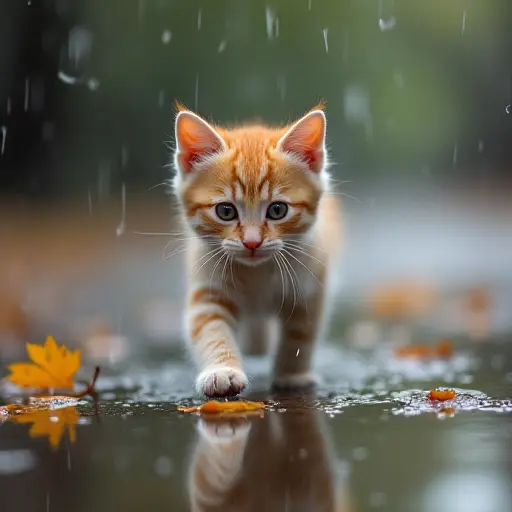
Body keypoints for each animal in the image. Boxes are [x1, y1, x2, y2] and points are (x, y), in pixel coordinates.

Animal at [173, 103, 344, 396]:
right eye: (225, 211)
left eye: (277, 210)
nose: (252, 242)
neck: (257, 275)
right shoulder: (208, 288)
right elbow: (211, 329)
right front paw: (221, 371)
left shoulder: (311, 287)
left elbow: (300, 334)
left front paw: (292, 375)